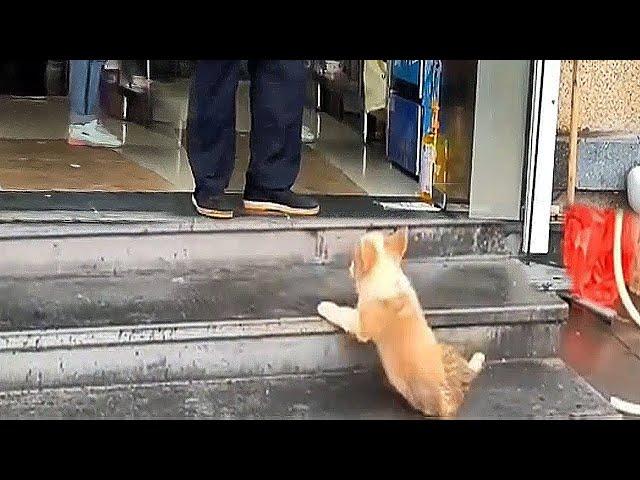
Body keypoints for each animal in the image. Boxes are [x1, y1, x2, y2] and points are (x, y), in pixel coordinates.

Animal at [318, 227, 488, 418]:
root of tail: (447, 403)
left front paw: (325, 306)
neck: (386, 273)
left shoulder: (361, 325)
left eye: (356, 260)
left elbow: (343, 313)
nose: (350, 267)